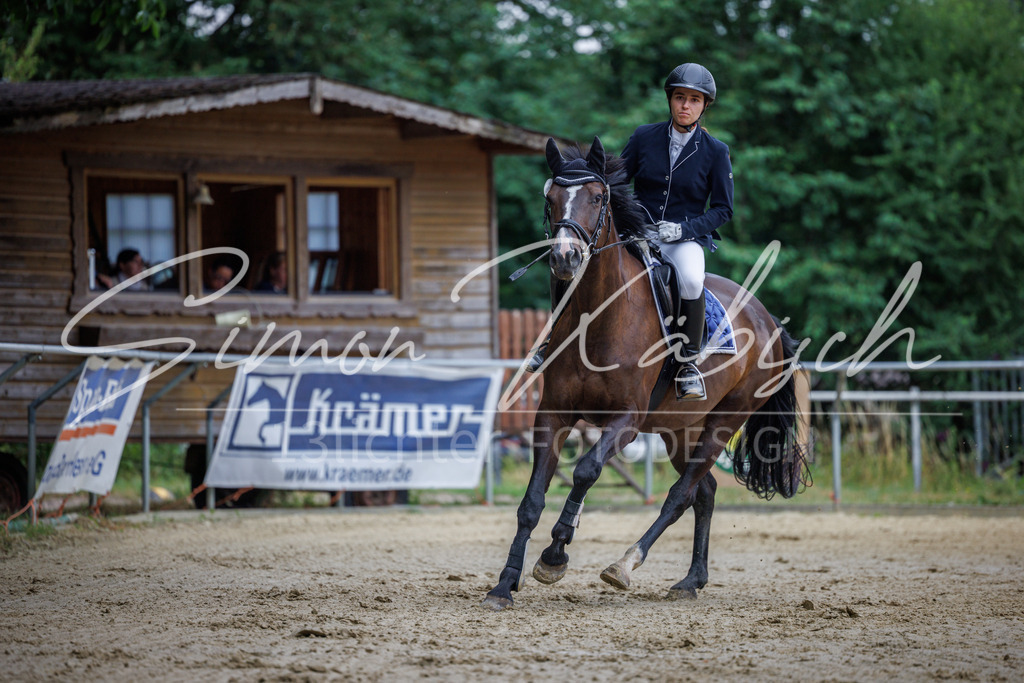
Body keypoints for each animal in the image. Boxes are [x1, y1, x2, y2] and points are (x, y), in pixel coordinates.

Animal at [482, 137, 809, 611]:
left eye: (598, 198)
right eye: (550, 199)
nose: (565, 258)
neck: (599, 316)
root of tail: (765, 317)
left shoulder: (627, 420)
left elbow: (585, 471)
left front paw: (555, 554)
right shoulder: (553, 414)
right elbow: (531, 502)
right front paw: (505, 584)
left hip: (723, 421)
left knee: (681, 495)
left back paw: (624, 565)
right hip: (680, 429)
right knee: (705, 492)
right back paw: (691, 580)